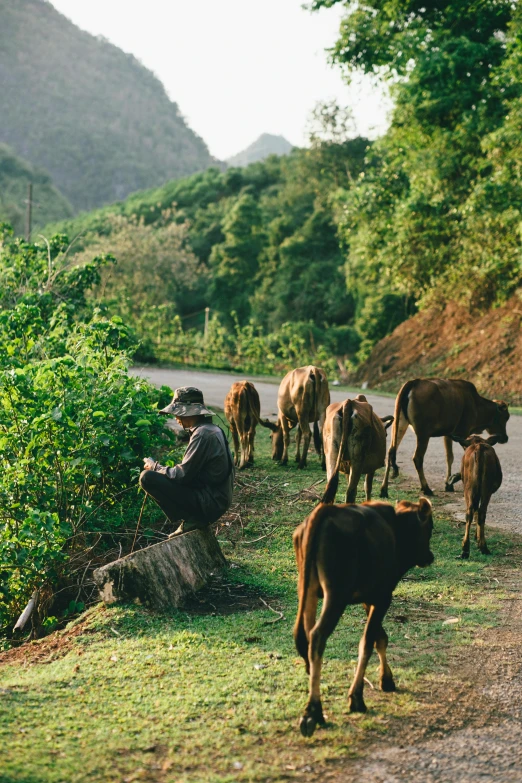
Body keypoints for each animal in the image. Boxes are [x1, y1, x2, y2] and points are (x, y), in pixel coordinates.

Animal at [292, 500, 430, 740]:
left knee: (305, 636)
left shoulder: (370, 598)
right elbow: (368, 642)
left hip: (307, 589)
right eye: (429, 528)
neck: (396, 527)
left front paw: (387, 679)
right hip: (336, 594)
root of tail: (326, 510)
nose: (430, 556)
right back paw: (313, 712)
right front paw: (357, 697)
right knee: (317, 636)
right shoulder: (383, 596)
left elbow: (380, 638)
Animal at [378, 378, 508, 500]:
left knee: (390, 452)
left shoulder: (448, 434)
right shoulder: (463, 433)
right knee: (417, 458)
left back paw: (384, 490)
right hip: (423, 433)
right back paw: (426, 488)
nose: (505, 438)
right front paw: (453, 479)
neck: (476, 404)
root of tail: (414, 382)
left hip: (399, 424)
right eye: (505, 417)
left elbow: (449, 457)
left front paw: (448, 484)